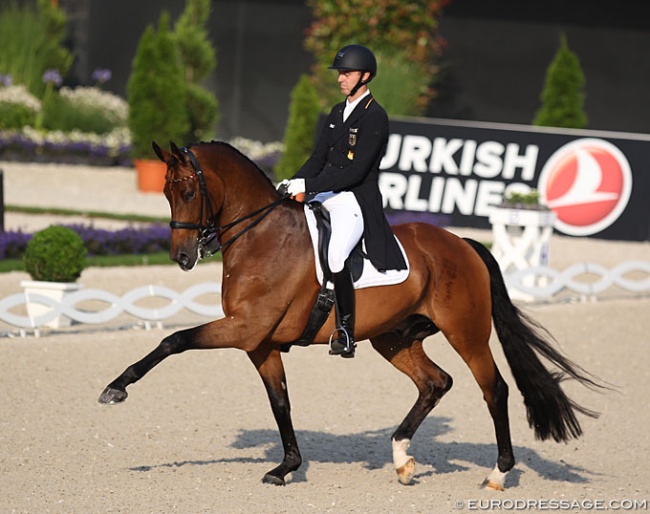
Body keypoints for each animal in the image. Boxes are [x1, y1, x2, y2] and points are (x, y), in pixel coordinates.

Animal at [98, 140, 600, 488]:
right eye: (165, 192)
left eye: (186, 190)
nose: (183, 257)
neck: (261, 236)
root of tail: (462, 243)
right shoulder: (260, 343)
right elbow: (280, 402)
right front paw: (286, 467)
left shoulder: (244, 329)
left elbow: (173, 340)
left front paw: (115, 388)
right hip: (394, 338)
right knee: (435, 383)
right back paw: (401, 459)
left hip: (467, 333)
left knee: (493, 389)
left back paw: (497, 474)